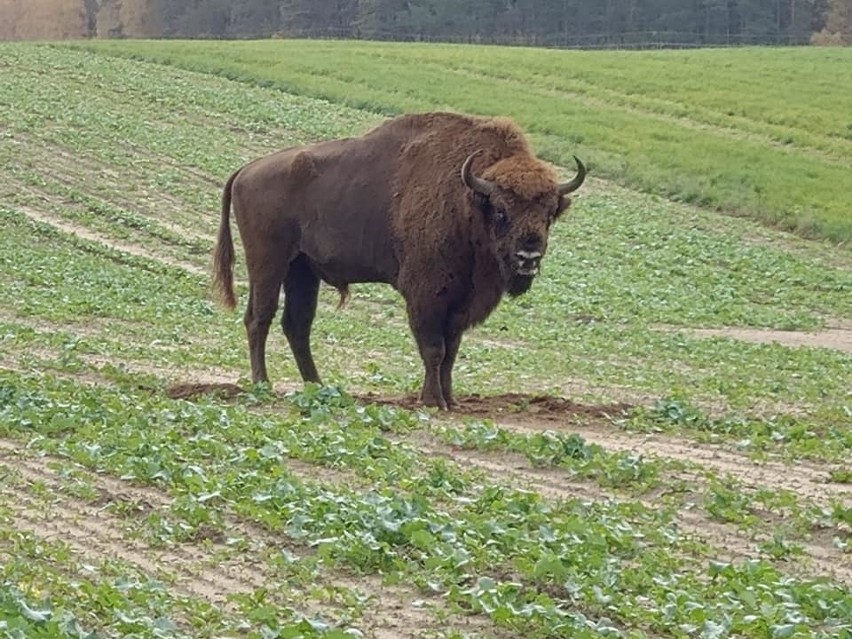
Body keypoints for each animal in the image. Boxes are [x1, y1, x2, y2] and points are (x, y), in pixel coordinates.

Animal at [213, 110, 584, 410]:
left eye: (549, 213)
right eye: (502, 211)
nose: (528, 256)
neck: (469, 199)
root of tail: (247, 170)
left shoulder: (459, 304)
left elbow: (451, 352)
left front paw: (450, 399)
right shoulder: (426, 296)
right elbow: (434, 349)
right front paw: (433, 401)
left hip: (302, 270)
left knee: (297, 325)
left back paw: (318, 387)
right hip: (269, 262)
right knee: (259, 317)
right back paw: (263, 384)